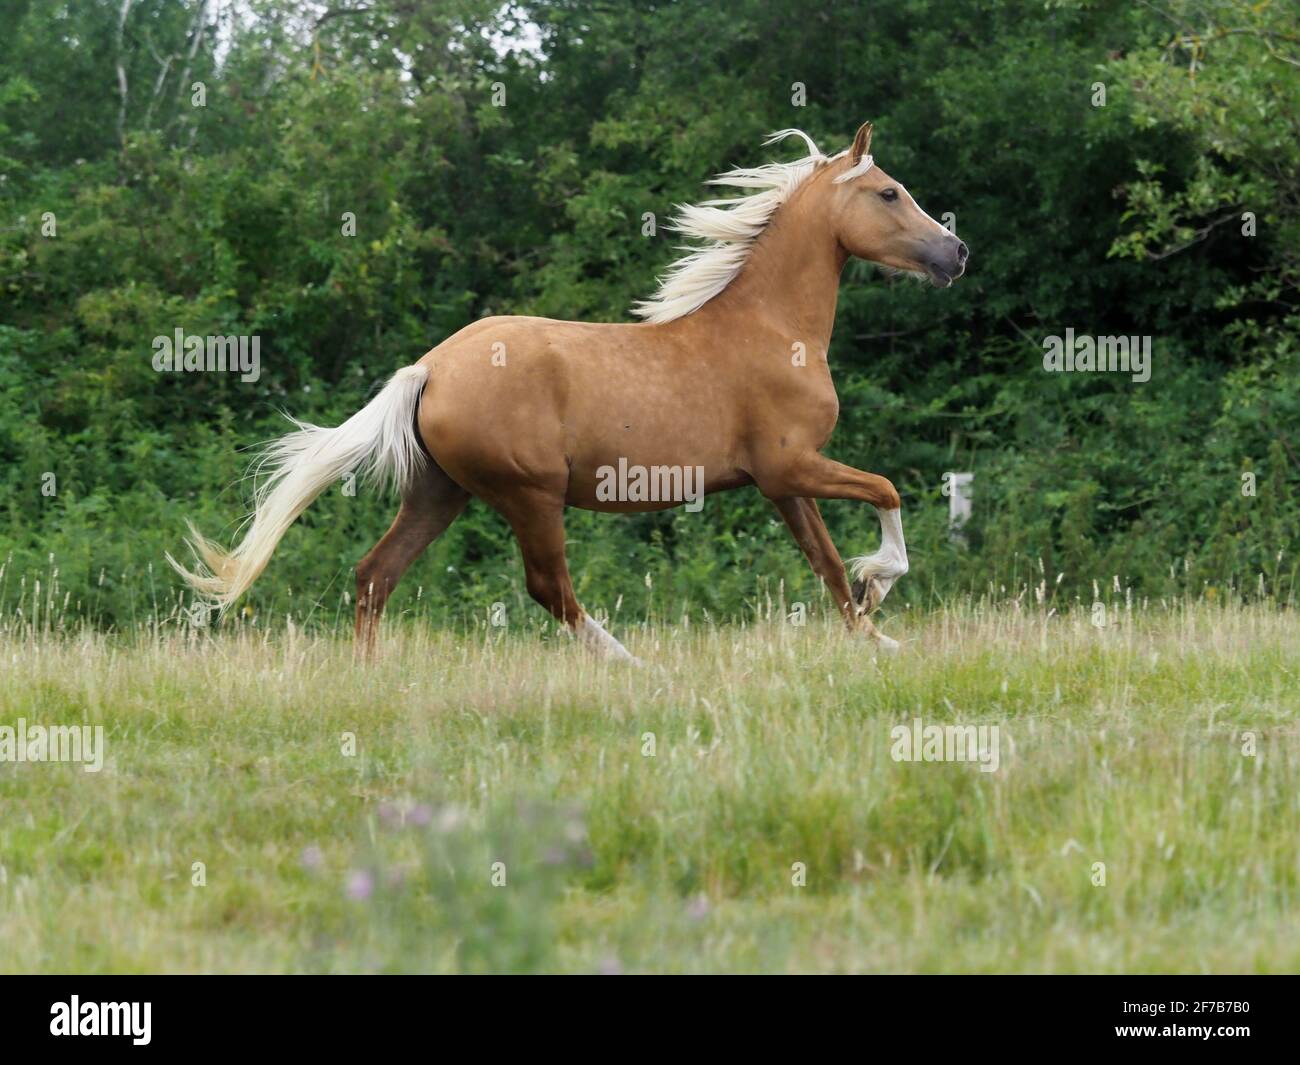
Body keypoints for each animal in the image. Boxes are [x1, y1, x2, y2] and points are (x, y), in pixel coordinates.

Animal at [170, 124, 967, 657]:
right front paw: (881, 582)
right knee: (549, 590)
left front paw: (876, 635)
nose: (956, 252)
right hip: (530, 494)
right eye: (889, 192)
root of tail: (428, 368)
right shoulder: (790, 465)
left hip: (439, 493)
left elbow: (826, 563)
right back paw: (631, 663)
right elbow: (888, 490)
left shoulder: (782, 482)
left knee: (374, 575)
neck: (772, 329)